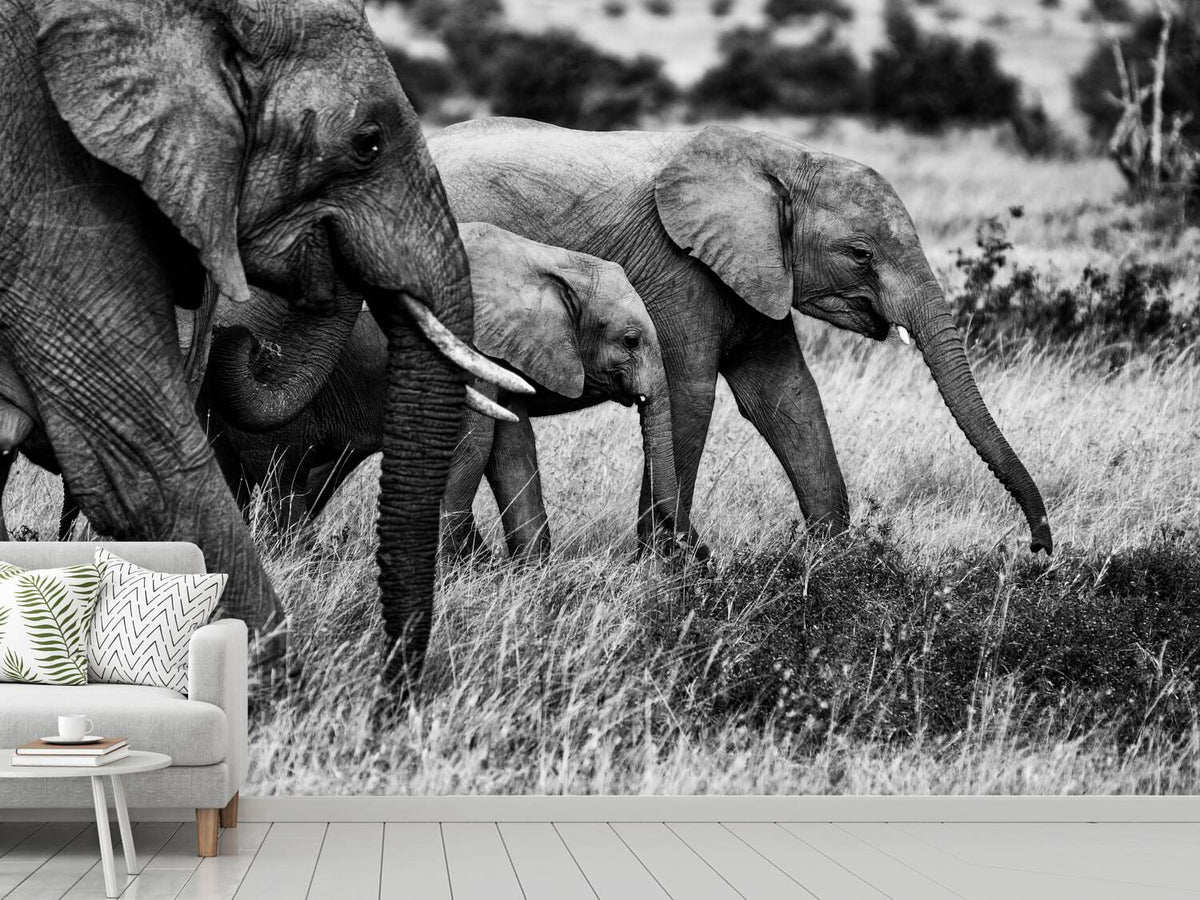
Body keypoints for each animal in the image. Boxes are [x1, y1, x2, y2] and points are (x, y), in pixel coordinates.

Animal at [204, 222, 687, 558]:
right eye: (630, 341)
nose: (679, 553)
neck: (549, 261)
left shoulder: (503, 353)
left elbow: (511, 446)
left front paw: (528, 572)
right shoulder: (466, 343)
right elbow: (472, 442)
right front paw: (452, 565)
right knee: (280, 474)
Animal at [427, 119, 1053, 555]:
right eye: (860, 254)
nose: (1036, 552)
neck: (786, 160)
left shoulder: (757, 271)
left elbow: (788, 397)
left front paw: (837, 563)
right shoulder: (678, 271)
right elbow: (690, 395)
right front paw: (668, 565)